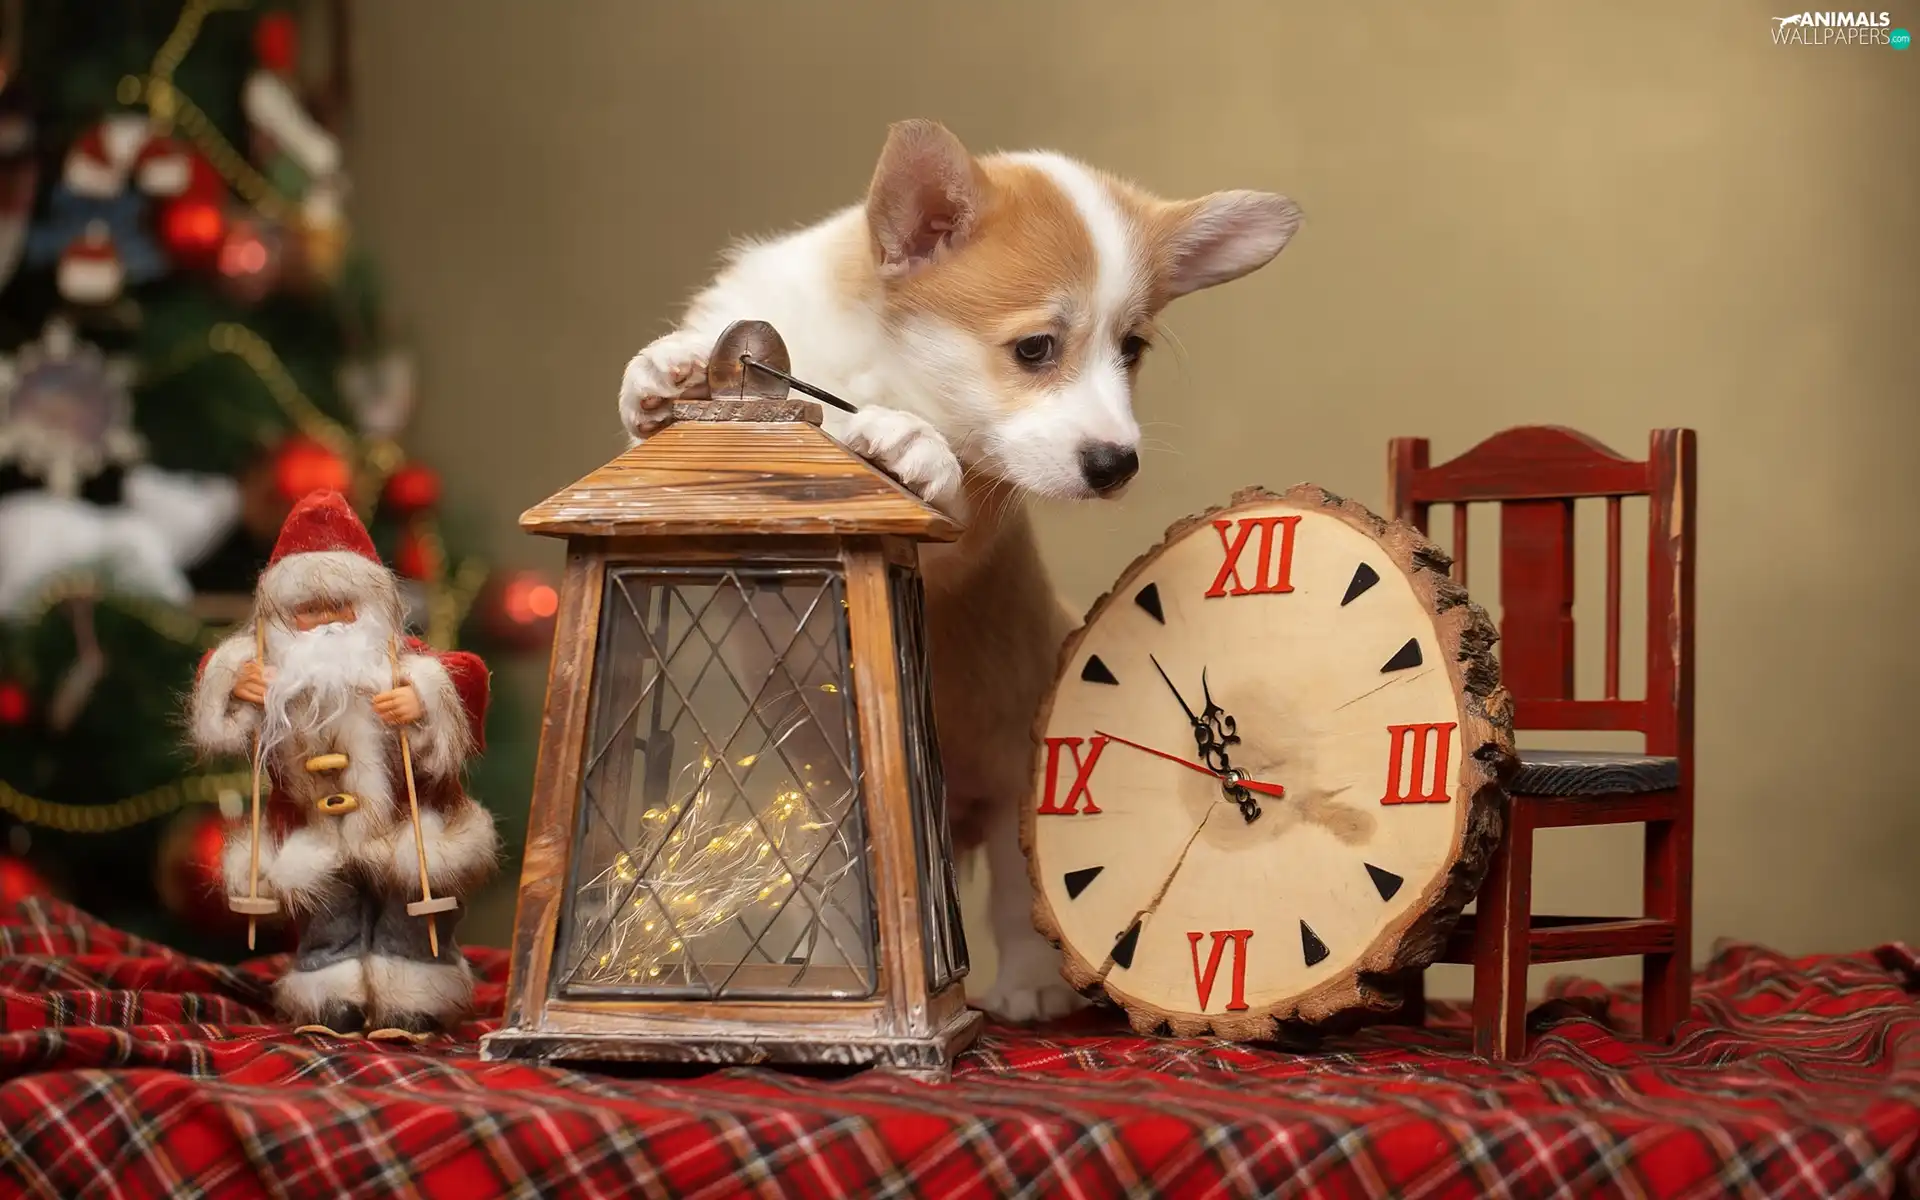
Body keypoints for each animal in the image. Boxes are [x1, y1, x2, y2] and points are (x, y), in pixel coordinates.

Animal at [618, 119, 1305, 1021]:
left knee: (1021, 902)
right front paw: (666, 370)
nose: (1117, 465)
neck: (880, 364)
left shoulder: (959, 539)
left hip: (1025, 795)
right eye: (1035, 348)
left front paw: (911, 443)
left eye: (1132, 349)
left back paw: (1032, 986)